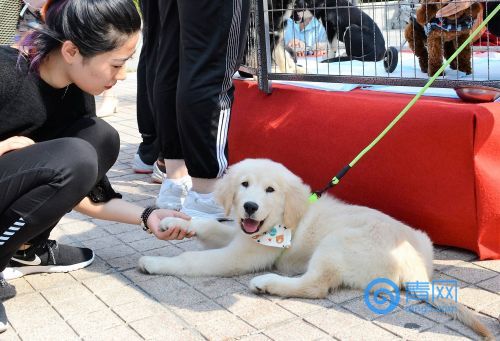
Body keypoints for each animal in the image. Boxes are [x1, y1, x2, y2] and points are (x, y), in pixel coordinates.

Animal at [140, 158, 492, 338]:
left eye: (270, 190)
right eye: (244, 185)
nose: (251, 207)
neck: (280, 220)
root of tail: (417, 269)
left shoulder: (244, 254)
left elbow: (191, 259)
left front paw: (155, 262)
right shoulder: (243, 236)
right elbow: (212, 227)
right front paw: (176, 222)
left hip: (336, 242)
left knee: (316, 286)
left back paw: (267, 283)